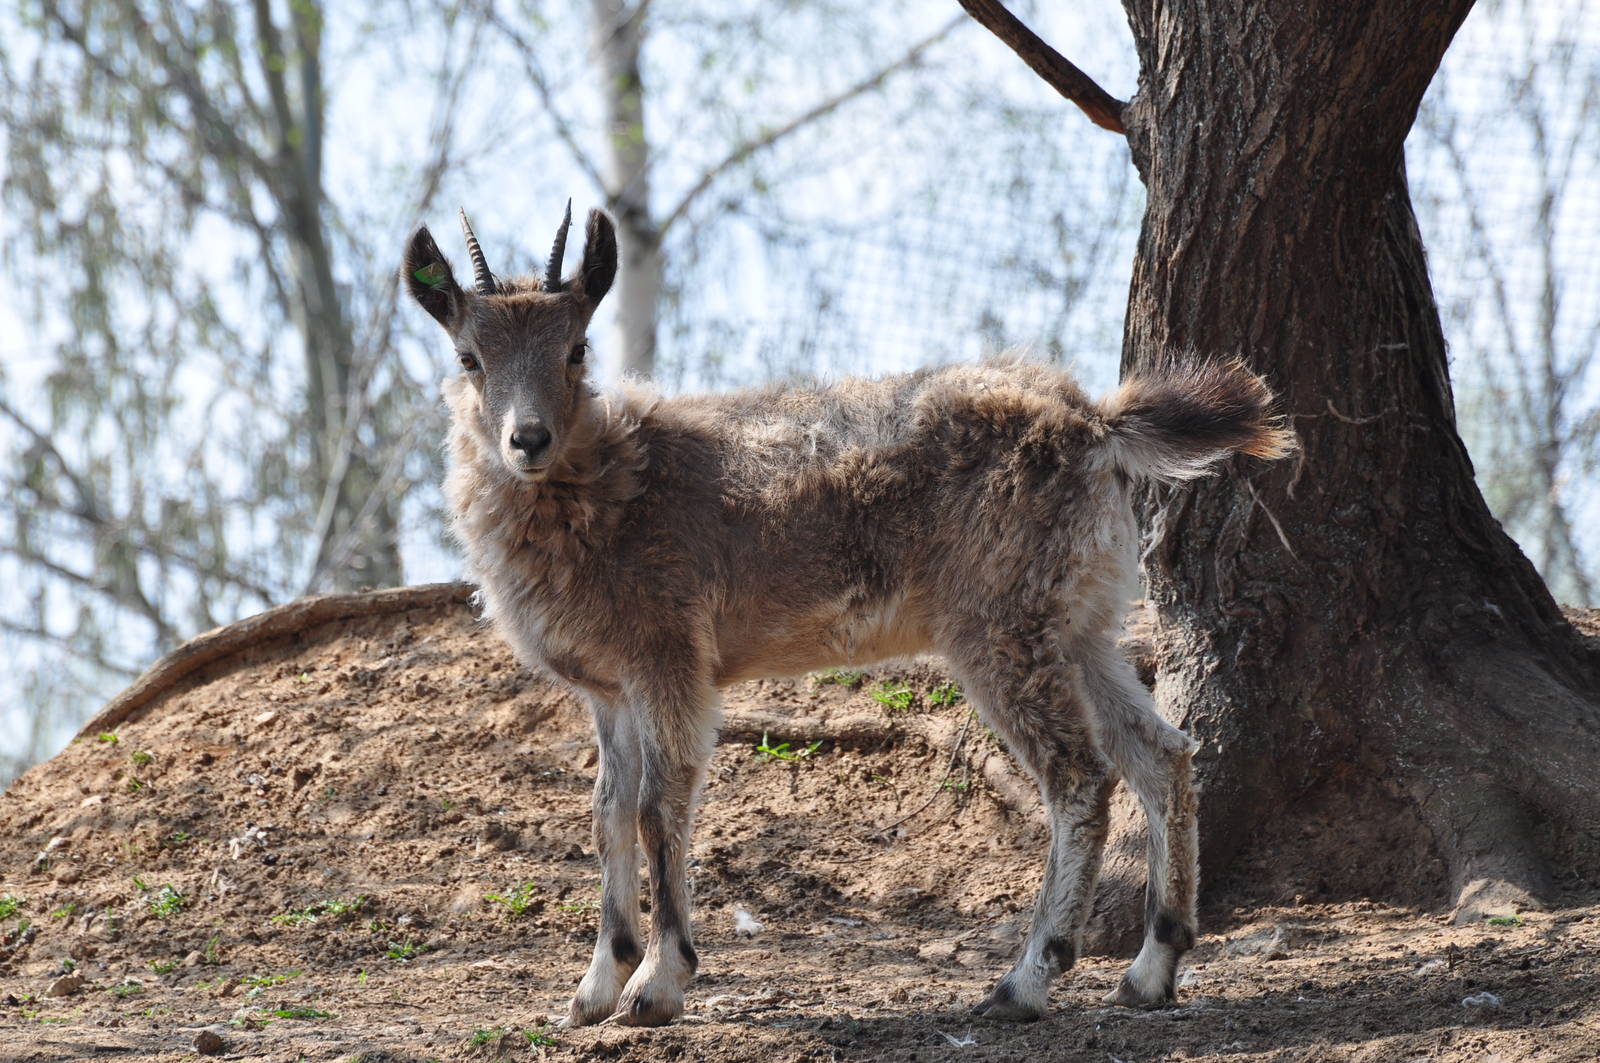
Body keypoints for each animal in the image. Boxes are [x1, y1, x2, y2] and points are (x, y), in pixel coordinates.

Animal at [402, 204, 1293, 1027]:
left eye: (577, 348)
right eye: (469, 356)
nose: (528, 439)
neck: (612, 493)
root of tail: (1097, 426)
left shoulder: (669, 654)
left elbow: (661, 802)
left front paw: (657, 984)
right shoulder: (609, 686)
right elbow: (607, 810)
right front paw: (592, 989)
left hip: (999, 623)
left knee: (1080, 774)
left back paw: (1023, 981)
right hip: (1078, 622)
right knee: (1160, 751)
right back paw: (1151, 969)